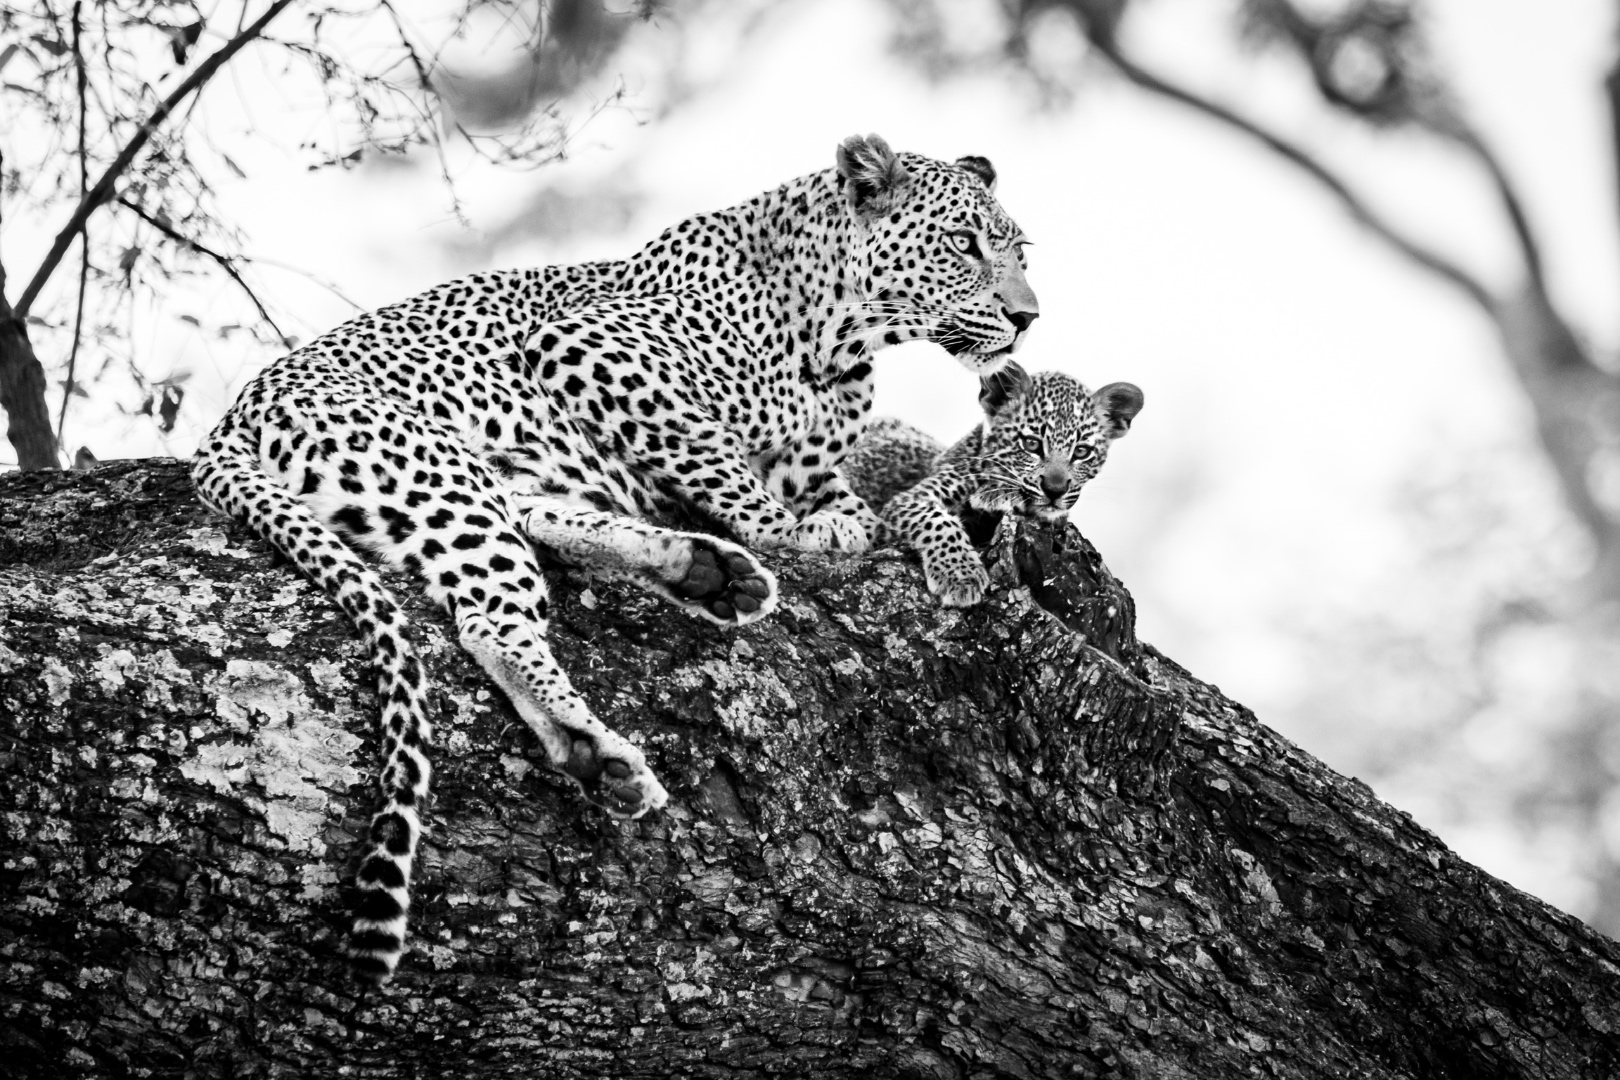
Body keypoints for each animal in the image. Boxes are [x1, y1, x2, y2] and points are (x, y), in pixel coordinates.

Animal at [190, 134, 1038, 982]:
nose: (1027, 317)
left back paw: (706, 576)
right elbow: (723, 468)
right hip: (435, 469)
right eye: (964, 243)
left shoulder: (820, 467)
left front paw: (828, 528)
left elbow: (845, 508)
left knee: (534, 536)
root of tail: (232, 417)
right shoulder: (590, 347)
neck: (842, 339)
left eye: (1019, 251)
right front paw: (786, 531)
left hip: (472, 484)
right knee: (491, 621)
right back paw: (604, 743)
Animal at [883, 362, 1142, 607]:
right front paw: (960, 576)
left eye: (1081, 451)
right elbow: (939, 522)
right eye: (1031, 444)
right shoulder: (907, 501)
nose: (1055, 491)